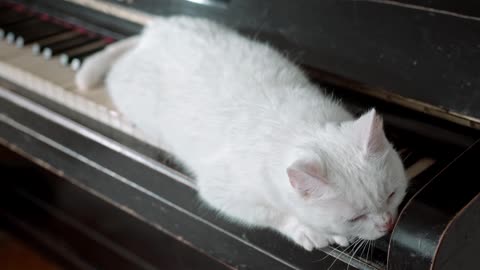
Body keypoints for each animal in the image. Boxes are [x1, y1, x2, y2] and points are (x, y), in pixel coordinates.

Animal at [77, 15, 406, 250]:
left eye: (392, 194)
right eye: (355, 217)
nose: (388, 224)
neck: (302, 128)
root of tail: (154, 29)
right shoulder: (221, 193)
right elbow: (272, 214)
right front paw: (309, 229)